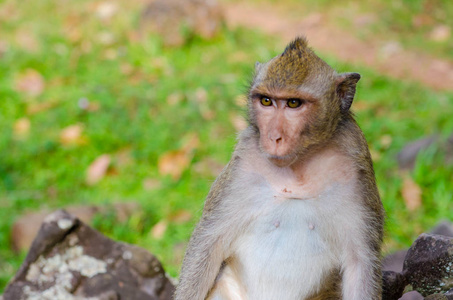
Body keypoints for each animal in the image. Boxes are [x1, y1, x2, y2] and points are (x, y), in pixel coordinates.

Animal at [175, 37, 384, 300]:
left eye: (293, 103)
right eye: (266, 101)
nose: (273, 136)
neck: (298, 167)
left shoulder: (357, 168)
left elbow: (360, 264)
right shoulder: (243, 163)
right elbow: (209, 242)